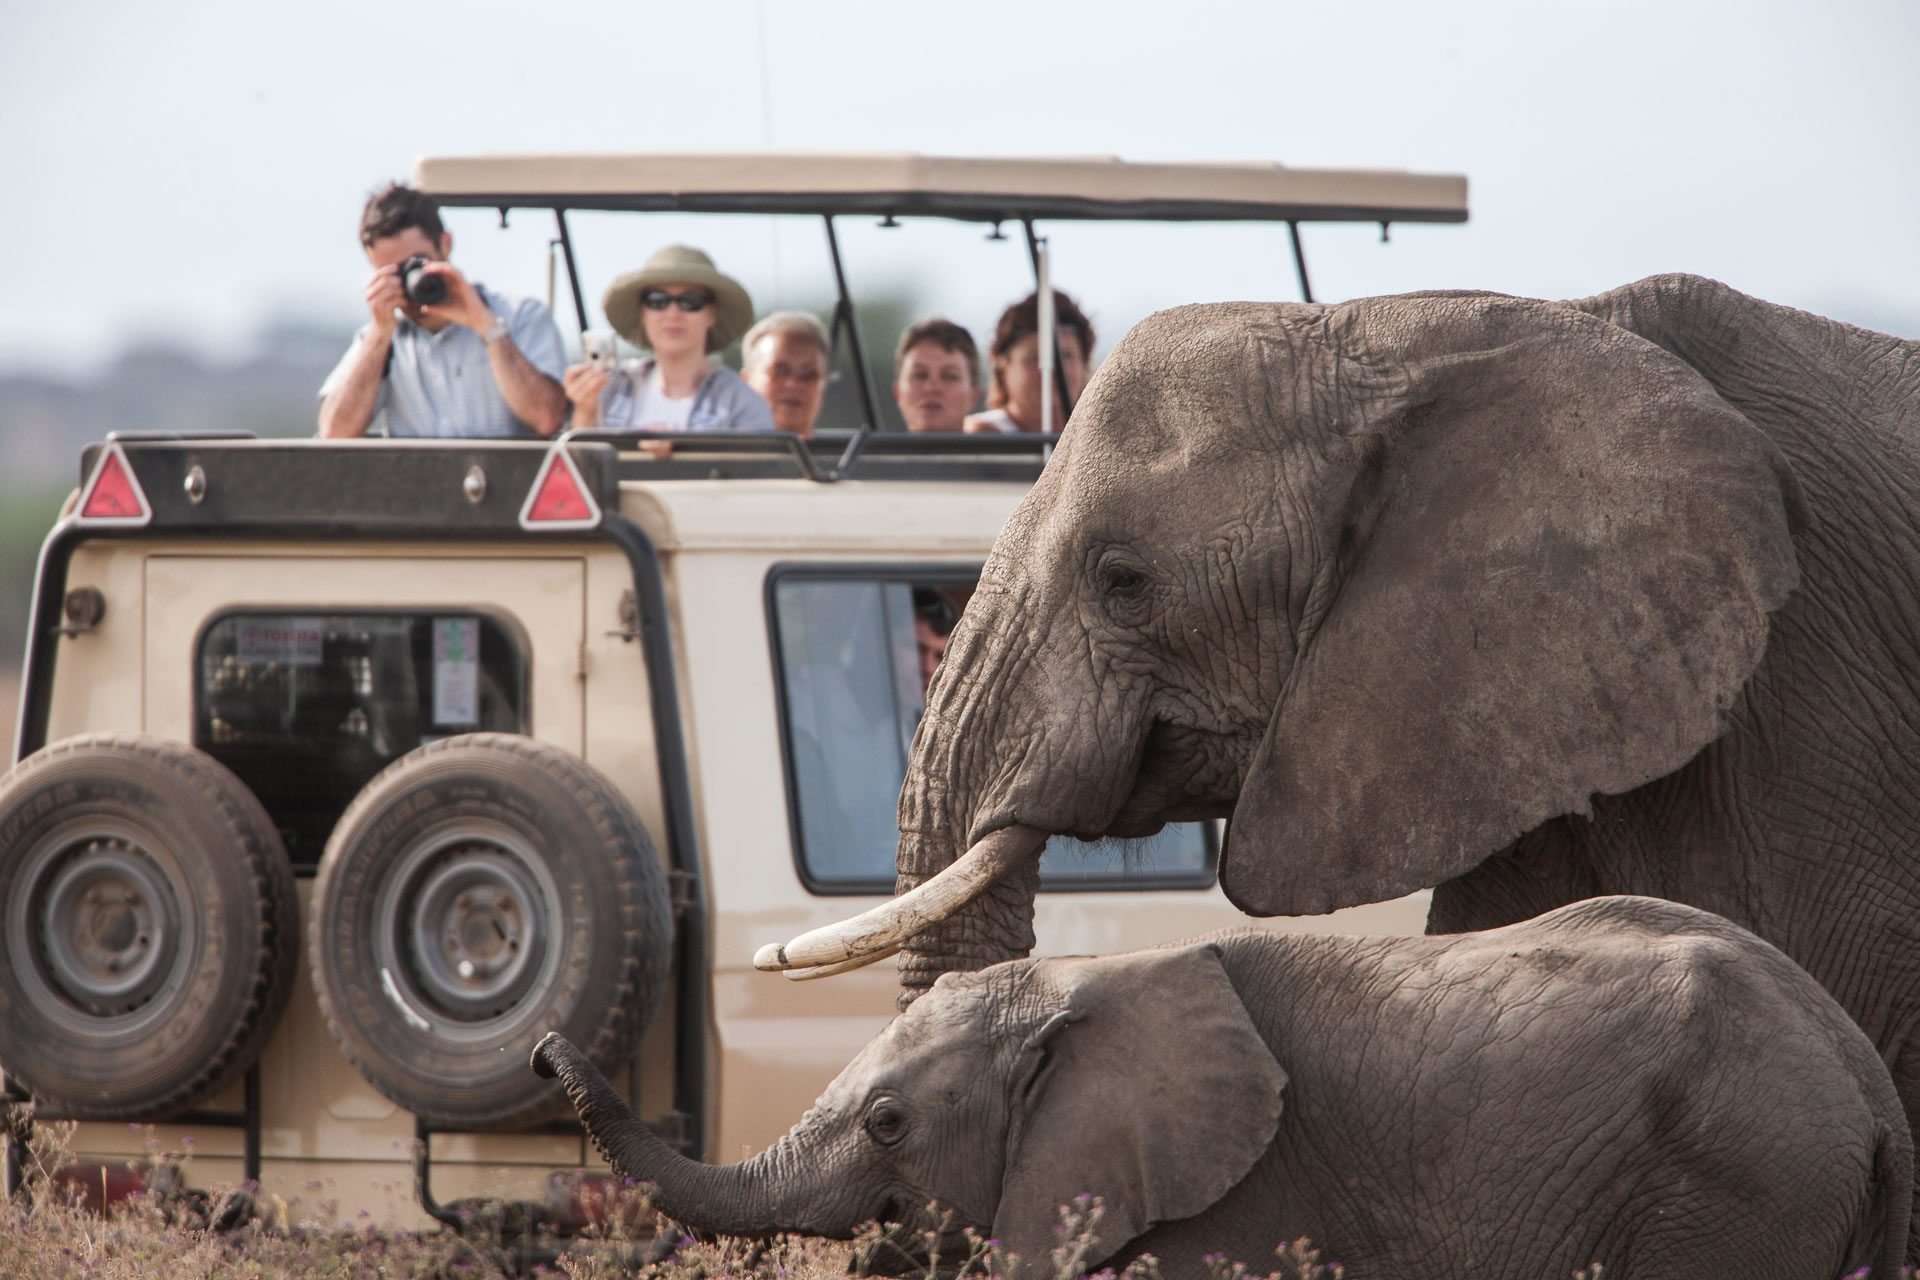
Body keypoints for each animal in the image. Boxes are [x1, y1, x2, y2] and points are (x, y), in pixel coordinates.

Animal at [533, 901, 1912, 1280]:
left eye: (888, 1121)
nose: (545, 1047)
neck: (1086, 981)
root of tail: (1870, 1079)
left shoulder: (1240, 1199)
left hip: (1735, 1190)